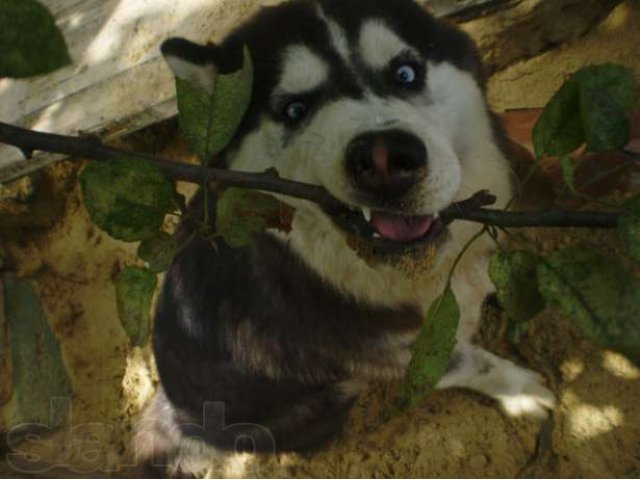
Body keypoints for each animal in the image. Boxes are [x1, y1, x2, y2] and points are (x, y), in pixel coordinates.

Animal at [136, 0, 556, 472]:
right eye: (295, 110)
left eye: (405, 73)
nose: (385, 159)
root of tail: (172, 409)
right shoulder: (401, 353)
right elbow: (473, 364)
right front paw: (518, 388)